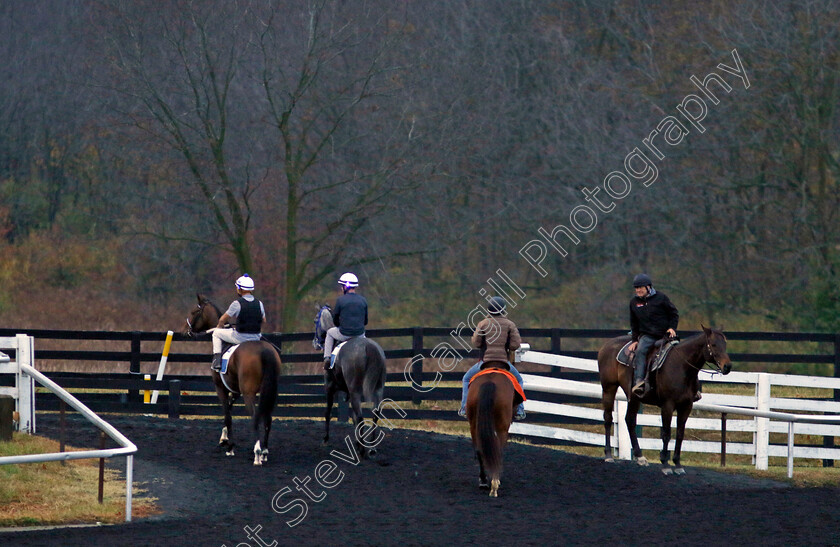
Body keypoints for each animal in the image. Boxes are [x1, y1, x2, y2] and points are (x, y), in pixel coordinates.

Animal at [182, 296, 280, 466]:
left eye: (194, 312)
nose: (187, 331)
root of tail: (264, 350)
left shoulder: (221, 388)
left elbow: (227, 414)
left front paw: (230, 446)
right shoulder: (236, 391)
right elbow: (229, 408)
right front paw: (224, 439)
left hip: (249, 393)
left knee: (255, 417)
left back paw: (257, 453)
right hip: (269, 391)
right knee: (268, 418)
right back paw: (265, 452)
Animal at [316, 306, 388, 460]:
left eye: (315, 320)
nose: (316, 342)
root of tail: (368, 347)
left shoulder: (329, 388)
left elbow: (328, 412)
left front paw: (325, 439)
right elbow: (353, 417)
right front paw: (357, 442)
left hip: (355, 391)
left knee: (361, 417)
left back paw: (362, 451)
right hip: (378, 389)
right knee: (374, 414)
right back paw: (371, 448)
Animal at [462, 362, 520, 498]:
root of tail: (490, 381)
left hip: (474, 425)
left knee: (479, 450)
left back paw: (484, 481)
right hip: (502, 428)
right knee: (498, 451)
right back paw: (494, 486)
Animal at [596, 326, 728, 476]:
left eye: (725, 344)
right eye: (713, 344)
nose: (727, 366)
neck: (681, 366)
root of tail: (606, 345)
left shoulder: (686, 406)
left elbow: (680, 434)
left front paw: (677, 463)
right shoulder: (667, 405)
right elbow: (666, 434)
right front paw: (665, 464)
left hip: (634, 397)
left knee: (630, 420)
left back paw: (640, 457)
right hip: (609, 388)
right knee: (608, 418)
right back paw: (608, 455)